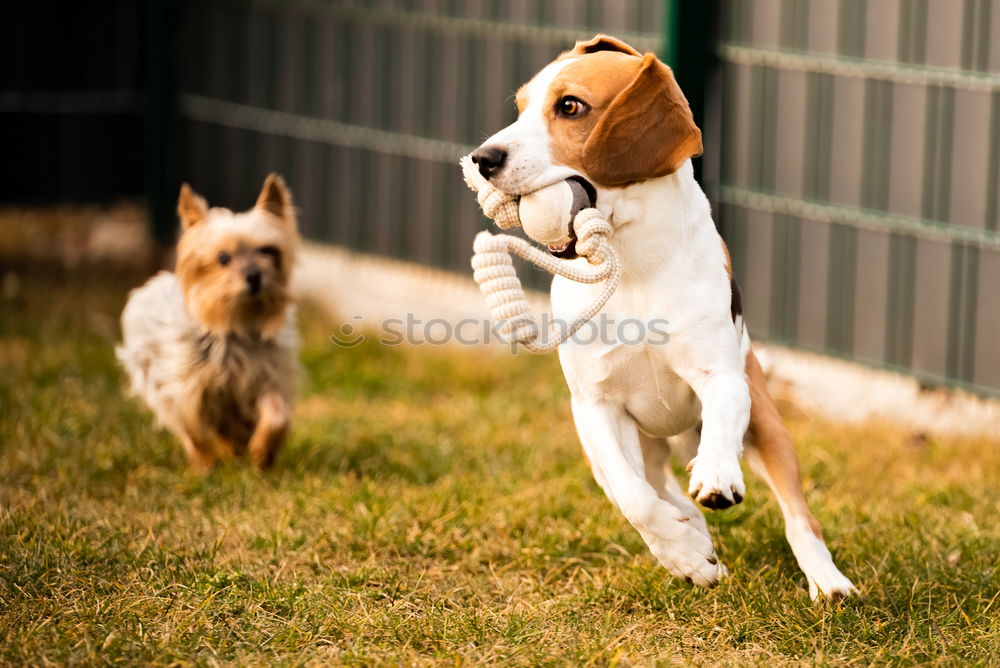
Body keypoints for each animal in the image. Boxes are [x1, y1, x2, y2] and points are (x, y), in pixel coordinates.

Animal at [119, 175, 298, 472]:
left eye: (266, 251)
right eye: (223, 258)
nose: (254, 276)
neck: (237, 324)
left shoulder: (268, 376)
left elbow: (276, 414)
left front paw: (262, 451)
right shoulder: (192, 387)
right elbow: (205, 420)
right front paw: (228, 448)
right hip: (156, 380)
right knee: (191, 431)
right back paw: (205, 463)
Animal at [472, 35, 856, 600]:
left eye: (570, 107)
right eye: (520, 108)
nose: (482, 158)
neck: (632, 264)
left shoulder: (722, 377)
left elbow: (721, 428)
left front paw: (716, 478)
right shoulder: (595, 407)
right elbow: (635, 499)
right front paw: (687, 556)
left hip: (769, 427)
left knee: (797, 515)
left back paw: (827, 581)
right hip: (625, 445)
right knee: (648, 486)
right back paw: (691, 535)